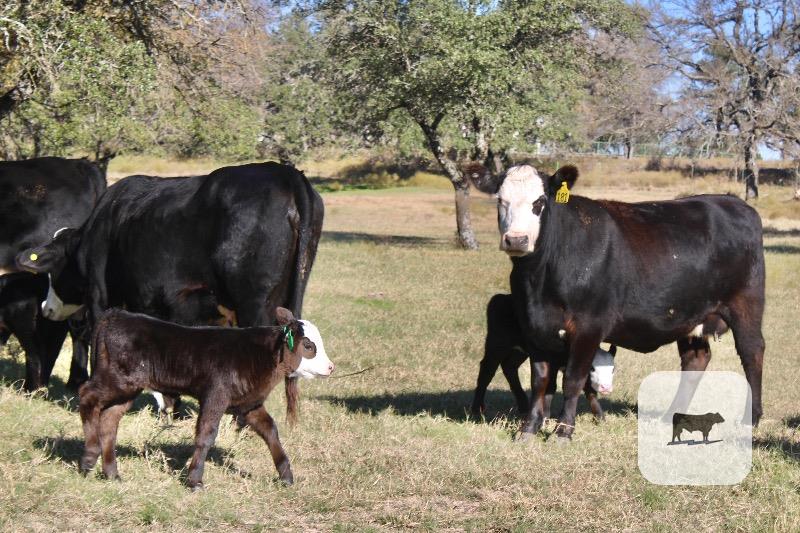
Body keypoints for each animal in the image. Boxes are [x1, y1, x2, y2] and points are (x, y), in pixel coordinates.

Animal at [16, 162, 324, 417]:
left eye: (54, 271)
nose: (46, 308)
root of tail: (285, 173)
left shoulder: (100, 298)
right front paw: (170, 405)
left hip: (254, 303)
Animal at [78, 307, 334, 489]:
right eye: (308, 345)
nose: (331, 367)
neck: (260, 356)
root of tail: (117, 314)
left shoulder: (248, 404)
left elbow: (270, 430)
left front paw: (286, 476)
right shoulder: (215, 396)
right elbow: (206, 434)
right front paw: (195, 480)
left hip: (127, 390)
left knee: (109, 420)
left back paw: (112, 473)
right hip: (118, 380)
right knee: (86, 395)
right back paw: (89, 456)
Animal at [471, 293, 616, 421]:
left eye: (613, 369)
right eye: (592, 368)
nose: (606, 387)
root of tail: (502, 297)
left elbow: (589, 390)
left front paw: (600, 416)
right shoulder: (552, 362)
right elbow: (551, 387)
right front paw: (545, 415)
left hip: (521, 350)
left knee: (509, 366)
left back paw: (523, 405)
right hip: (496, 343)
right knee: (487, 370)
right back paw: (476, 409)